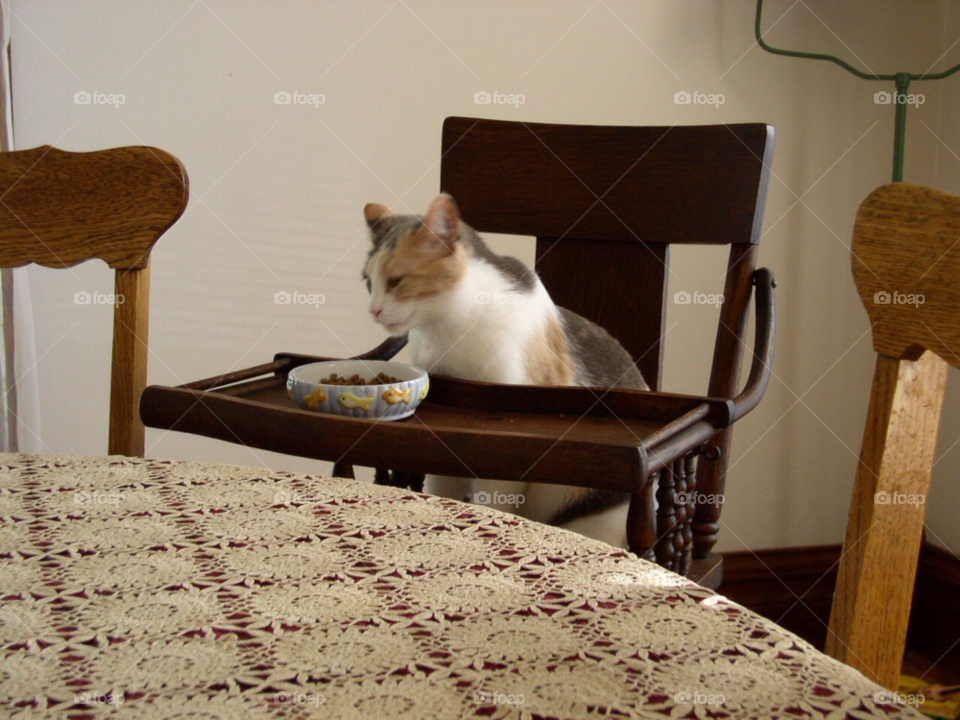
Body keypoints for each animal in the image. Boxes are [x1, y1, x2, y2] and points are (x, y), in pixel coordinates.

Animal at [364, 194, 648, 548]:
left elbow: (495, 504)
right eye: (368, 282)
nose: (374, 310)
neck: (446, 329)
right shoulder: (446, 462)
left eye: (396, 281)